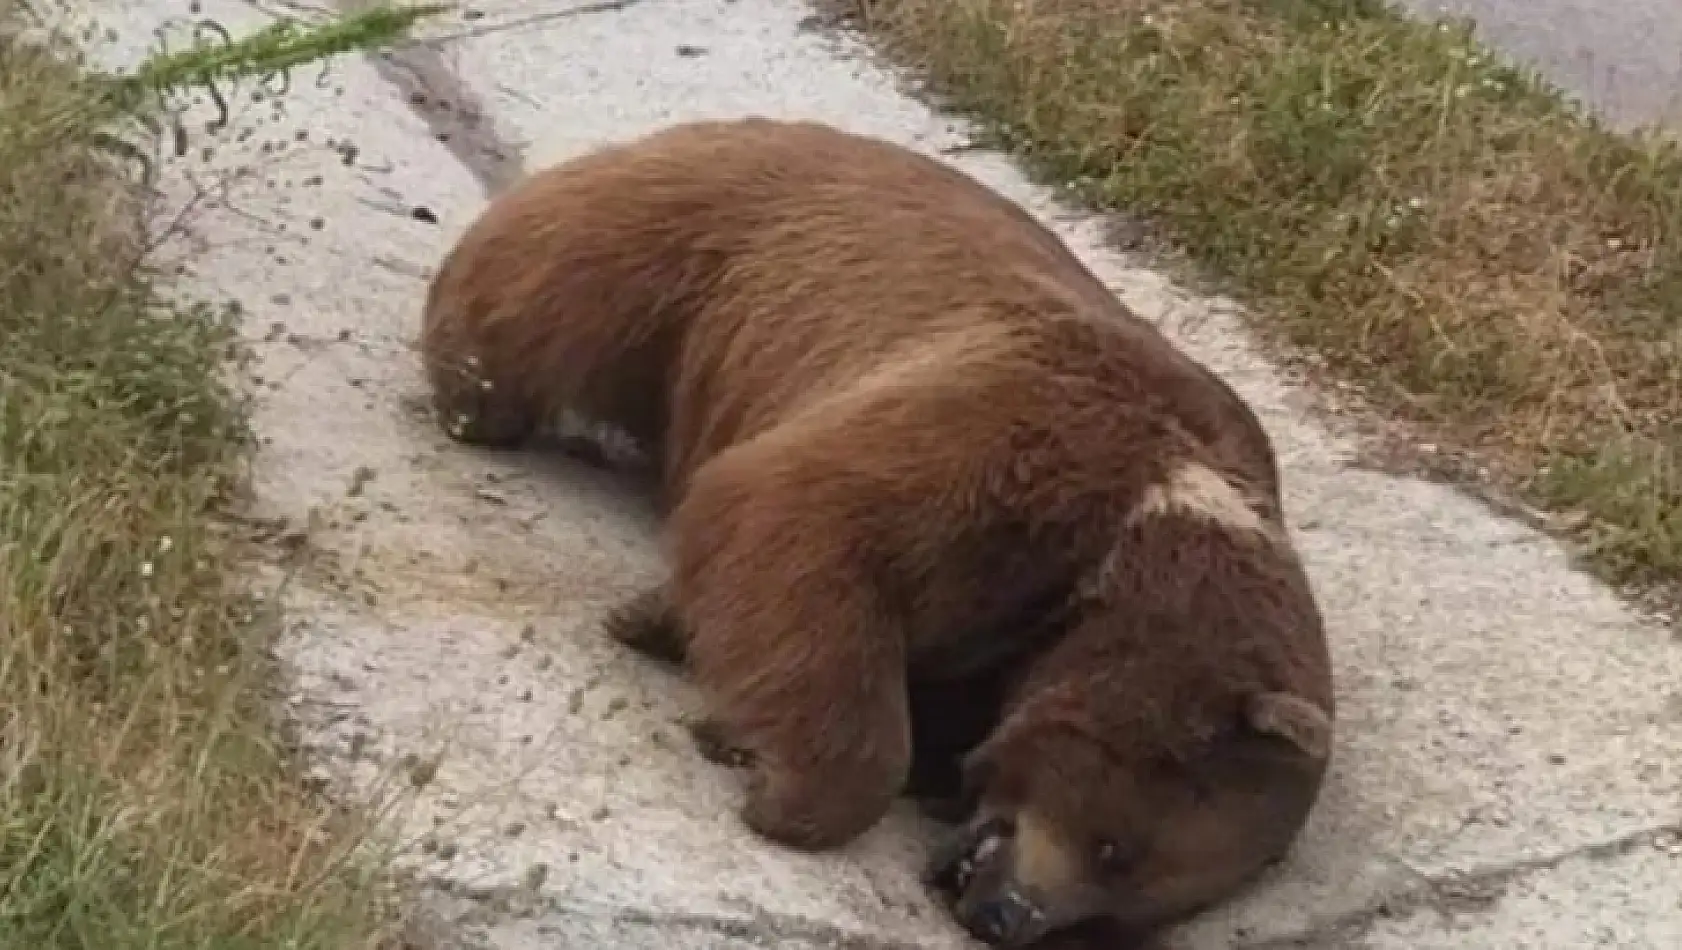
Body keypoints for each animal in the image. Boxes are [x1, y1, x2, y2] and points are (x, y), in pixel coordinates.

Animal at [423, 118, 1338, 948]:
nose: (1006, 916)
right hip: (698, 254)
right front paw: (782, 788)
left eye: (1125, 909)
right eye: (1119, 847)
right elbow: (807, 518)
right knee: (550, 289)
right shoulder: (1035, 447)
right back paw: (475, 392)